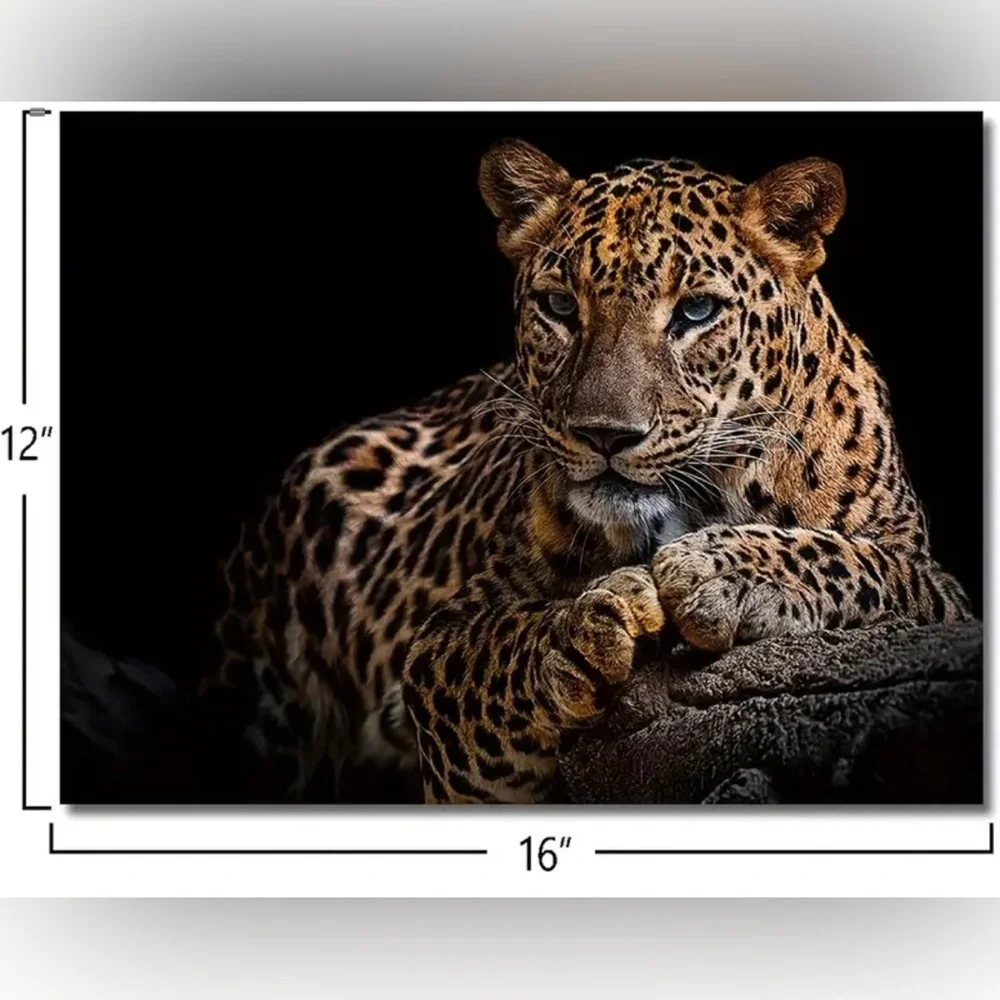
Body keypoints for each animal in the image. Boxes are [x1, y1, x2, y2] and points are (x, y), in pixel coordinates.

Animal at [196, 138, 972, 805]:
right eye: (560, 306)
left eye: (697, 310)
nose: (604, 433)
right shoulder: (437, 649)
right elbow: (487, 649)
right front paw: (578, 634)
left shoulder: (936, 587)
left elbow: (859, 561)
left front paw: (723, 571)